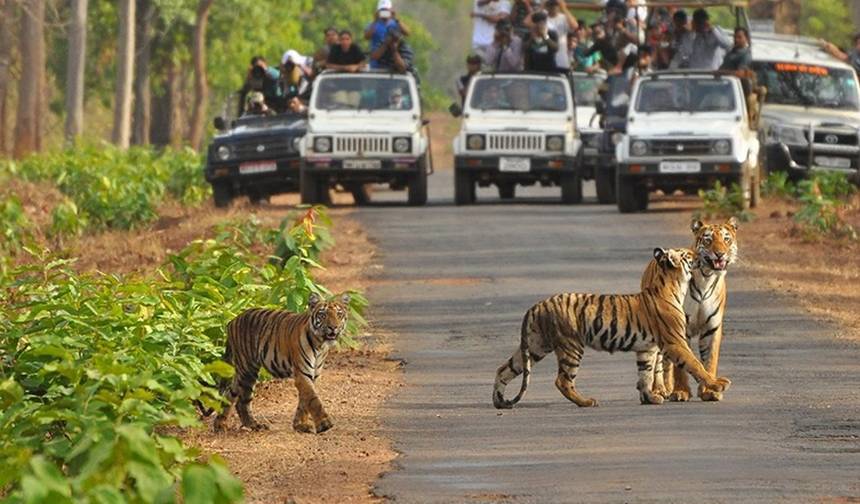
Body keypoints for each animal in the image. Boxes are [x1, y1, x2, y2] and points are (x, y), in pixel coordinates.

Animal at [207, 292, 350, 433]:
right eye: (323, 315)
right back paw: (247, 425)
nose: (333, 327)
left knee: (231, 394)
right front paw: (324, 424)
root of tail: (232, 321)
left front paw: (300, 425)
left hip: (243, 371)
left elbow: (304, 401)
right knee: (242, 401)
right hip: (247, 369)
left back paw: (224, 425)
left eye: (339, 314)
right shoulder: (302, 374)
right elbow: (313, 399)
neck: (320, 344)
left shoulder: (313, 375)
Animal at [493, 247, 731, 409]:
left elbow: (645, 374)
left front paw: (649, 398)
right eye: (688, 254)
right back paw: (586, 401)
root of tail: (536, 306)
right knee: (563, 380)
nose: (700, 253)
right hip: (571, 346)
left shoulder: (647, 349)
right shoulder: (675, 342)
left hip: (536, 346)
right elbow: (695, 364)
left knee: (504, 369)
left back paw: (499, 401)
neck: (673, 285)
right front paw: (717, 384)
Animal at [649, 218, 738, 402]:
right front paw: (681, 392)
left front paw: (709, 391)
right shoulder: (679, 328)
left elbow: (709, 360)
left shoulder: (712, 328)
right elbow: (681, 366)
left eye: (726, 239)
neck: (706, 277)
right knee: (659, 362)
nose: (720, 254)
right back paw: (660, 390)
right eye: (708, 240)